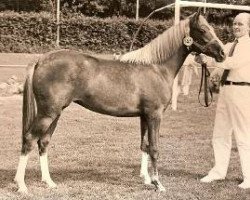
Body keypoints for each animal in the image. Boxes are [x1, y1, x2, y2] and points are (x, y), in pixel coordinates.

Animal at [14, 10, 225, 192]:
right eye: (203, 30)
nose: (222, 53)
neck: (157, 68)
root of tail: (41, 60)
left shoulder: (144, 116)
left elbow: (144, 146)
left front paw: (146, 180)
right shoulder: (154, 115)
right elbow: (154, 148)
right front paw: (158, 184)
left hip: (55, 113)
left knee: (43, 142)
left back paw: (49, 182)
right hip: (47, 114)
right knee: (29, 140)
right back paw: (21, 185)